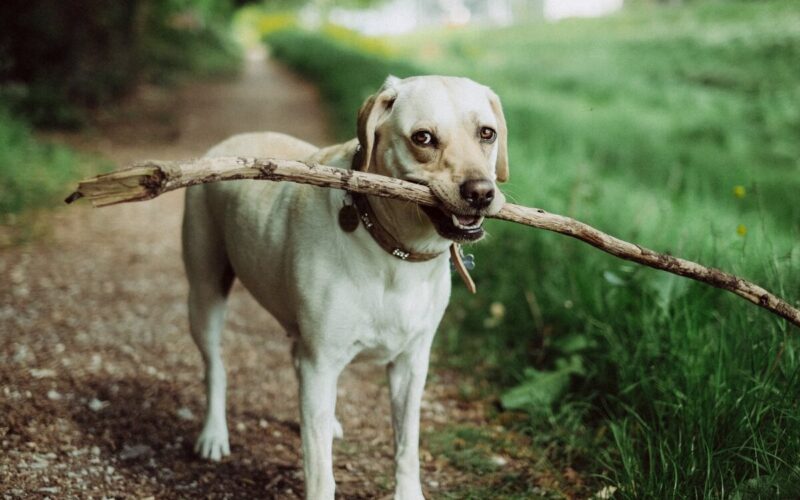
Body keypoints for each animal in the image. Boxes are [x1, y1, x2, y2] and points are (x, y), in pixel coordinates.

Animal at [181, 75, 506, 500]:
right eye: (423, 138)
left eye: (487, 133)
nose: (481, 193)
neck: (395, 253)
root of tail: (226, 143)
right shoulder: (321, 362)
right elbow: (321, 471)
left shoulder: (411, 363)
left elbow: (407, 445)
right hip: (205, 293)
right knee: (215, 367)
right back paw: (214, 435)